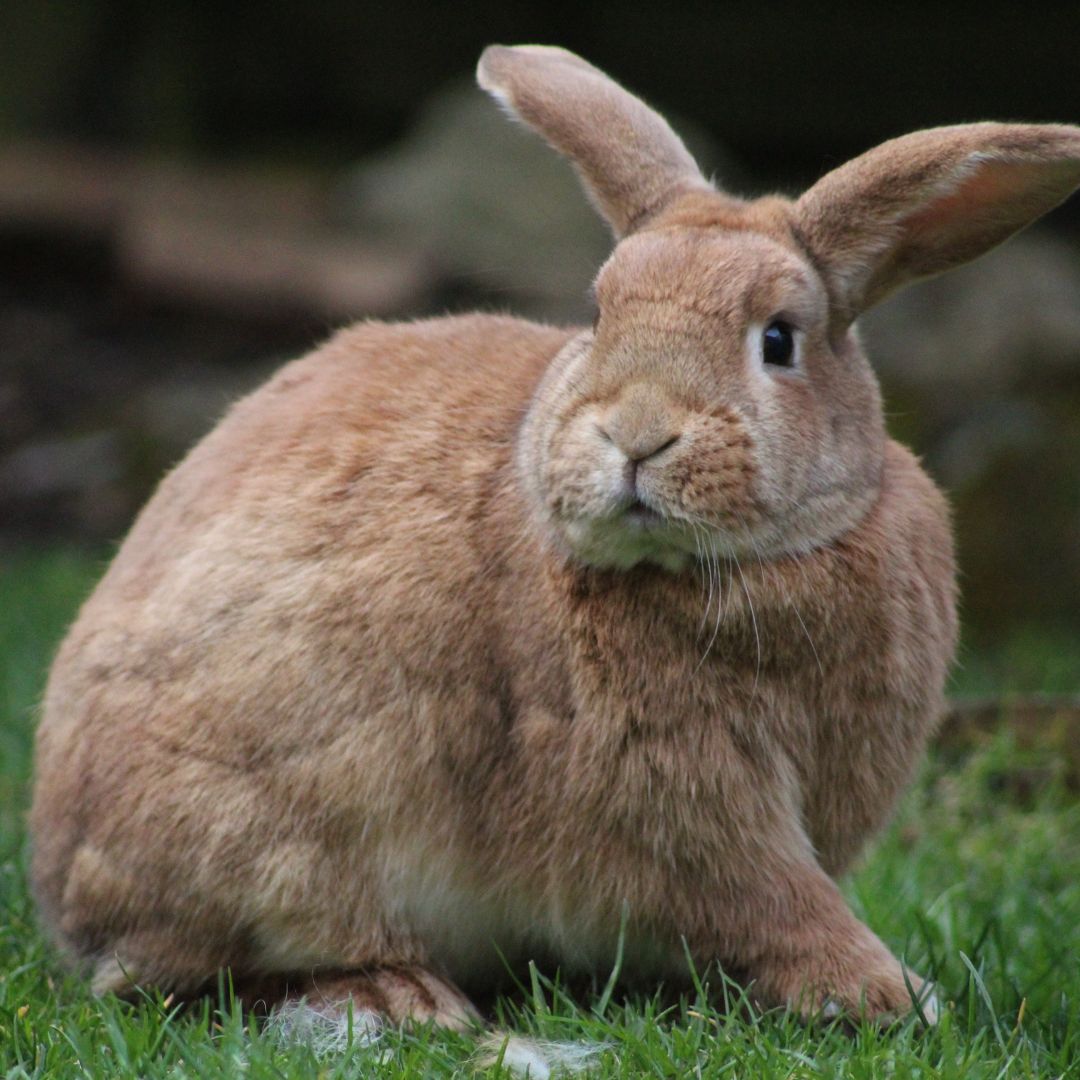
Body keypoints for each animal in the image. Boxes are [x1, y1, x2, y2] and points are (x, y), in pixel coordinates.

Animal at [29, 42, 1075, 1045]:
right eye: (600, 312)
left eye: (779, 339)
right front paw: (887, 995)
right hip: (277, 842)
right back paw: (397, 998)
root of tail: (60, 869)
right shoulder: (686, 800)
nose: (637, 435)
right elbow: (773, 897)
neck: (744, 564)